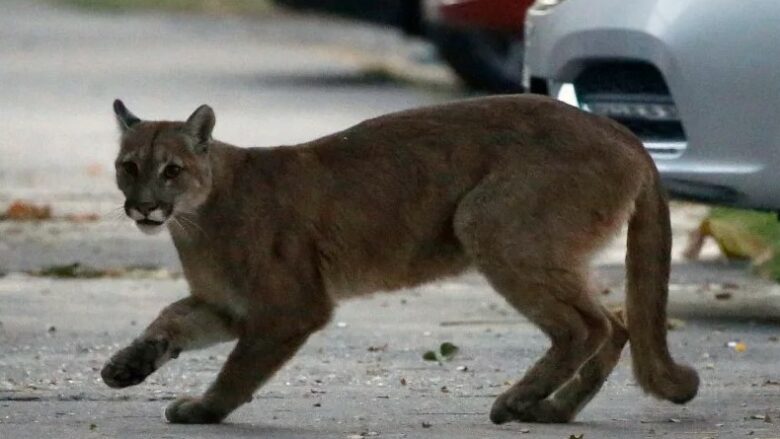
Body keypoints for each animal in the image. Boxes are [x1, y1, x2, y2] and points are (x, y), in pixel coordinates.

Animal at [100, 95, 696, 426]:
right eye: (128, 166)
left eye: (171, 170)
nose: (144, 206)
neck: (195, 219)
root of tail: (622, 132)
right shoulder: (229, 305)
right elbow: (171, 319)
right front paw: (127, 366)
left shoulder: (289, 307)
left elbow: (239, 368)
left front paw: (206, 410)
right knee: (617, 323)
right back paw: (553, 411)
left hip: (487, 222)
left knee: (586, 326)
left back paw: (518, 401)